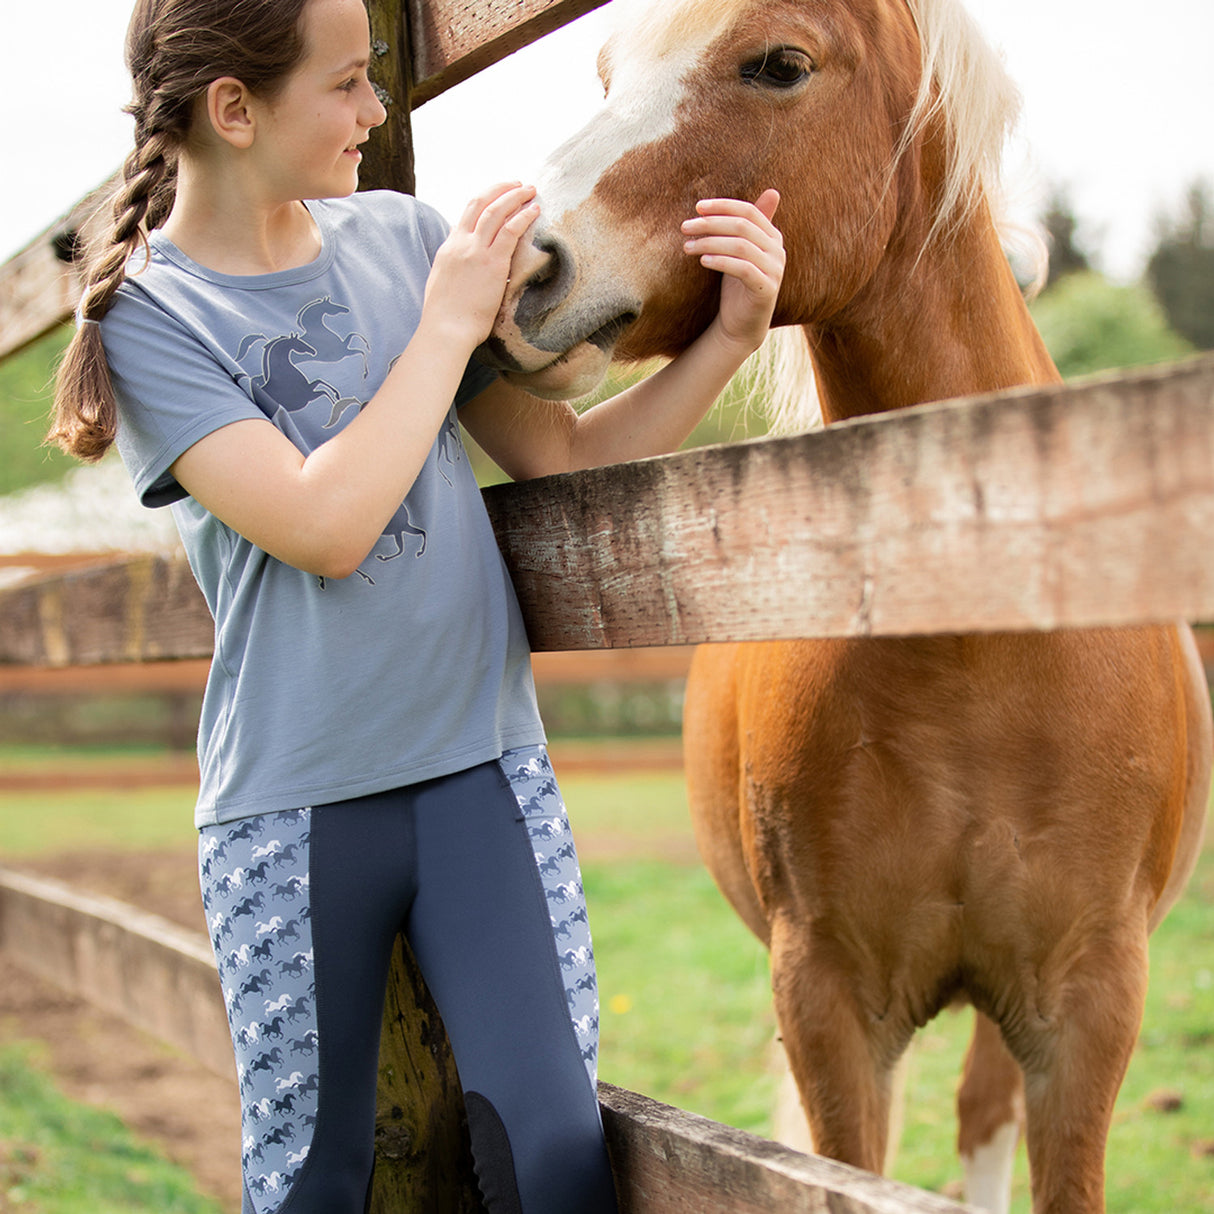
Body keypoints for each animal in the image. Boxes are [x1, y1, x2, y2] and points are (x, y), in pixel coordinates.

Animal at [484, 0, 1214, 1210]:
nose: (518, 266)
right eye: (606, 73)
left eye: (779, 64)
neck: (970, 648)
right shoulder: (828, 1001)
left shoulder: (1088, 1007)